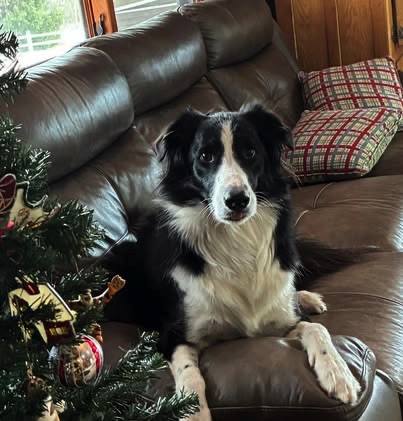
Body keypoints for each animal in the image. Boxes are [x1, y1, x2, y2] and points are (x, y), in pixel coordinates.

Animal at [110, 104, 361, 421]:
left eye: (250, 152)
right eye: (206, 156)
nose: (237, 200)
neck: (235, 240)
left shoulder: (283, 321)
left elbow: (317, 329)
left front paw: (339, 374)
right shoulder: (173, 336)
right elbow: (190, 375)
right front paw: (193, 412)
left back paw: (306, 297)